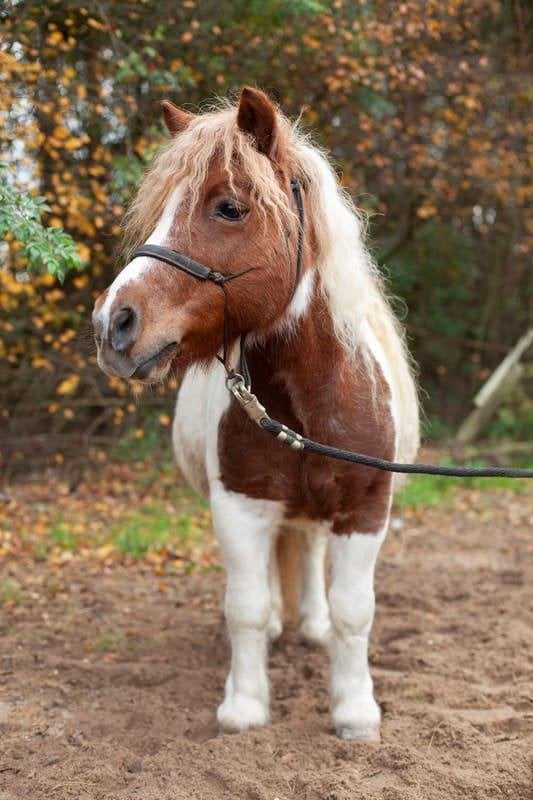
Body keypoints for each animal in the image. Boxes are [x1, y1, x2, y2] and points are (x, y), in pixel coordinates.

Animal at [92, 87, 419, 741]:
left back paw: (312, 627)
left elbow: (354, 613)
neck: (308, 403)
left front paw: (355, 712)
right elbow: (244, 608)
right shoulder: (241, 505)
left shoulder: (366, 511)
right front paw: (244, 707)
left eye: (229, 208)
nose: (113, 323)